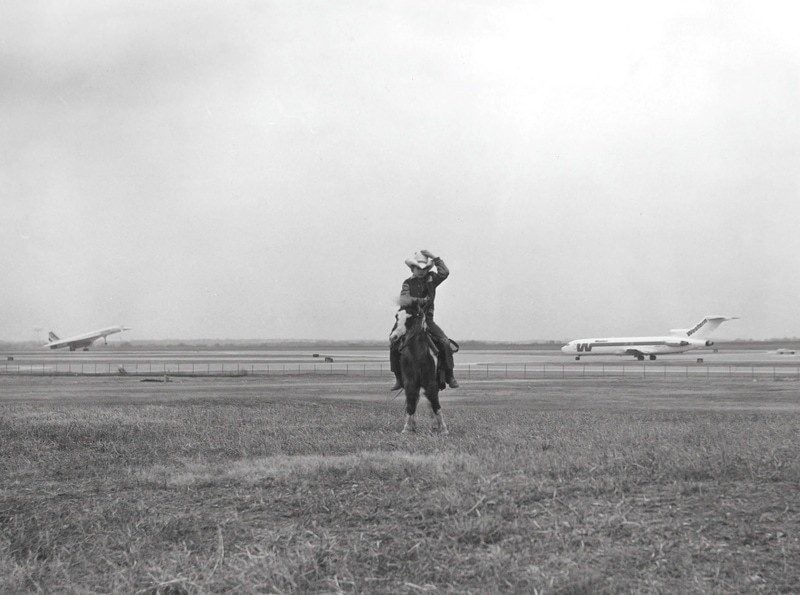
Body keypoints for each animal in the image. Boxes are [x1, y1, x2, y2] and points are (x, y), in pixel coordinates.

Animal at [390, 304, 450, 436]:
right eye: (396, 316)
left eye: (410, 318)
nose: (393, 337)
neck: (417, 355)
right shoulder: (410, 383)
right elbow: (411, 402)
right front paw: (407, 428)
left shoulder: (431, 383)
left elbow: (435, 403)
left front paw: (443, 429)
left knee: (430, 401)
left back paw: (435, 425)